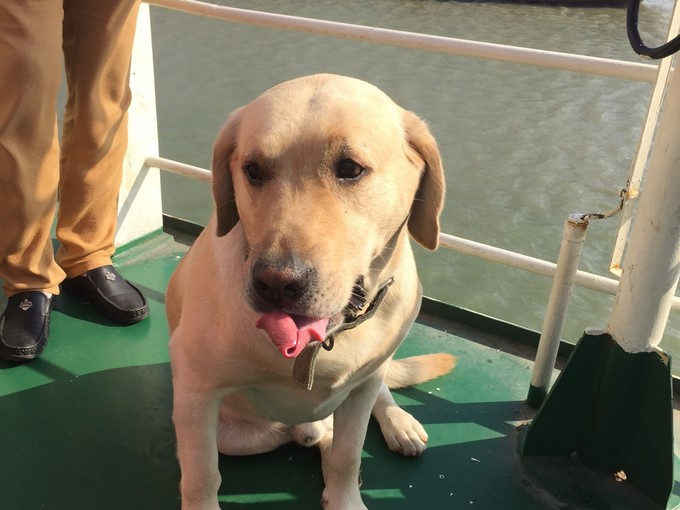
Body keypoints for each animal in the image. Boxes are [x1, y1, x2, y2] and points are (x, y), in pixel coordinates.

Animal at [166, 73, 455, 510]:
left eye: (350, 168)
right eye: (252, 170)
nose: (276, 282)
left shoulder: (362, 388)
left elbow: (348, 456)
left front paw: (346, 499)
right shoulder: (195, 392)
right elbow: (202, 474)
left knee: (374, 396)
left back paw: (397, 422)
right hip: (237, 436)